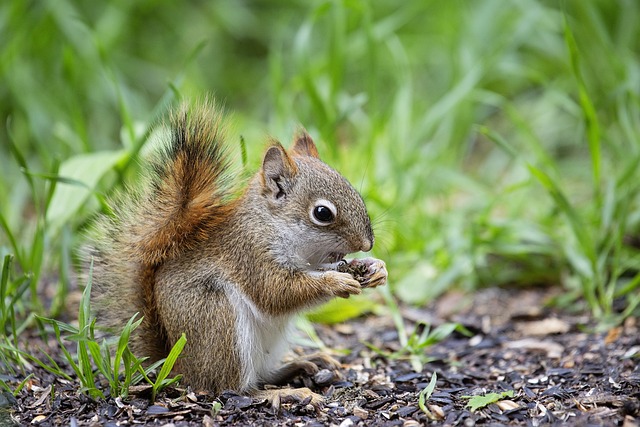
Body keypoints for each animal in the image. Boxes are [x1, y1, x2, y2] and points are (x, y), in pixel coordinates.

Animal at [87, 102, 388, 406]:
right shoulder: (249, 254)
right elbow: (276, 292)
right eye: (322, 213)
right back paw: (287, 391)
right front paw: (336, 282)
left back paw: (304, 364)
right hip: (219, 320)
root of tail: (176, 366)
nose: (367, 243)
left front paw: (374, 268)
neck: (271, 224)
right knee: (233, 388)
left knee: (262, 374)